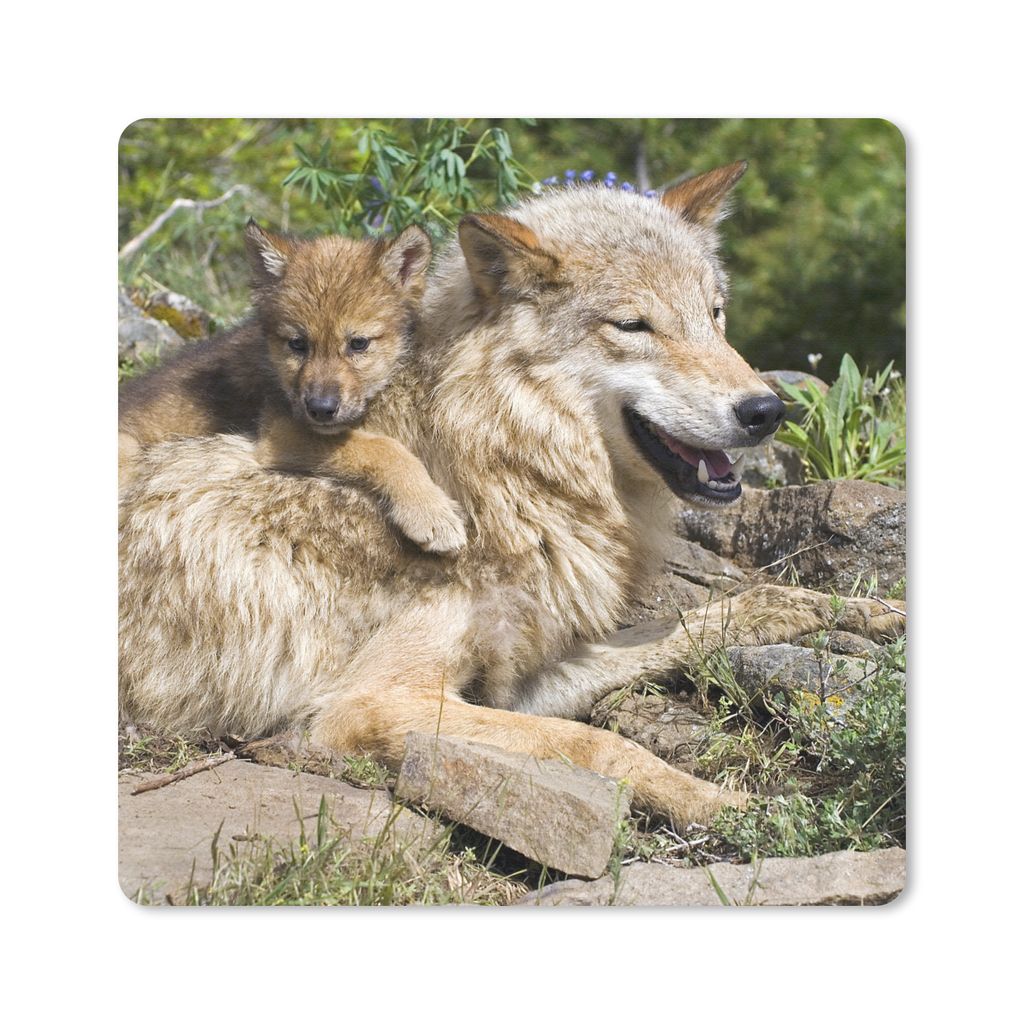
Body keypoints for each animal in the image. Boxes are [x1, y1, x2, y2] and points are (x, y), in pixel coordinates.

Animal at [118, 221, 465, 553]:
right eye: (298, 344)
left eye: (358, 343)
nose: (321, 410)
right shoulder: (281, 431)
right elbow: (383, 448)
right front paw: (430, 510)